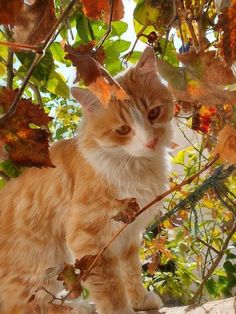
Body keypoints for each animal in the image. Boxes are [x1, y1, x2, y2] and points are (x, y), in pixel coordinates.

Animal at [0, 47, 173, 314]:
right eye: (123, 130)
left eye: (153, 113)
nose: (151, 142)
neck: (137, 167)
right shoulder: (89, 240)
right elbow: (111, 289)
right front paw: (121, 310)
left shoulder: (128, 236)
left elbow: (131, 272)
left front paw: (140, 300)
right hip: (44, 264)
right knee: (26, 306)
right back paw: (79, 307)